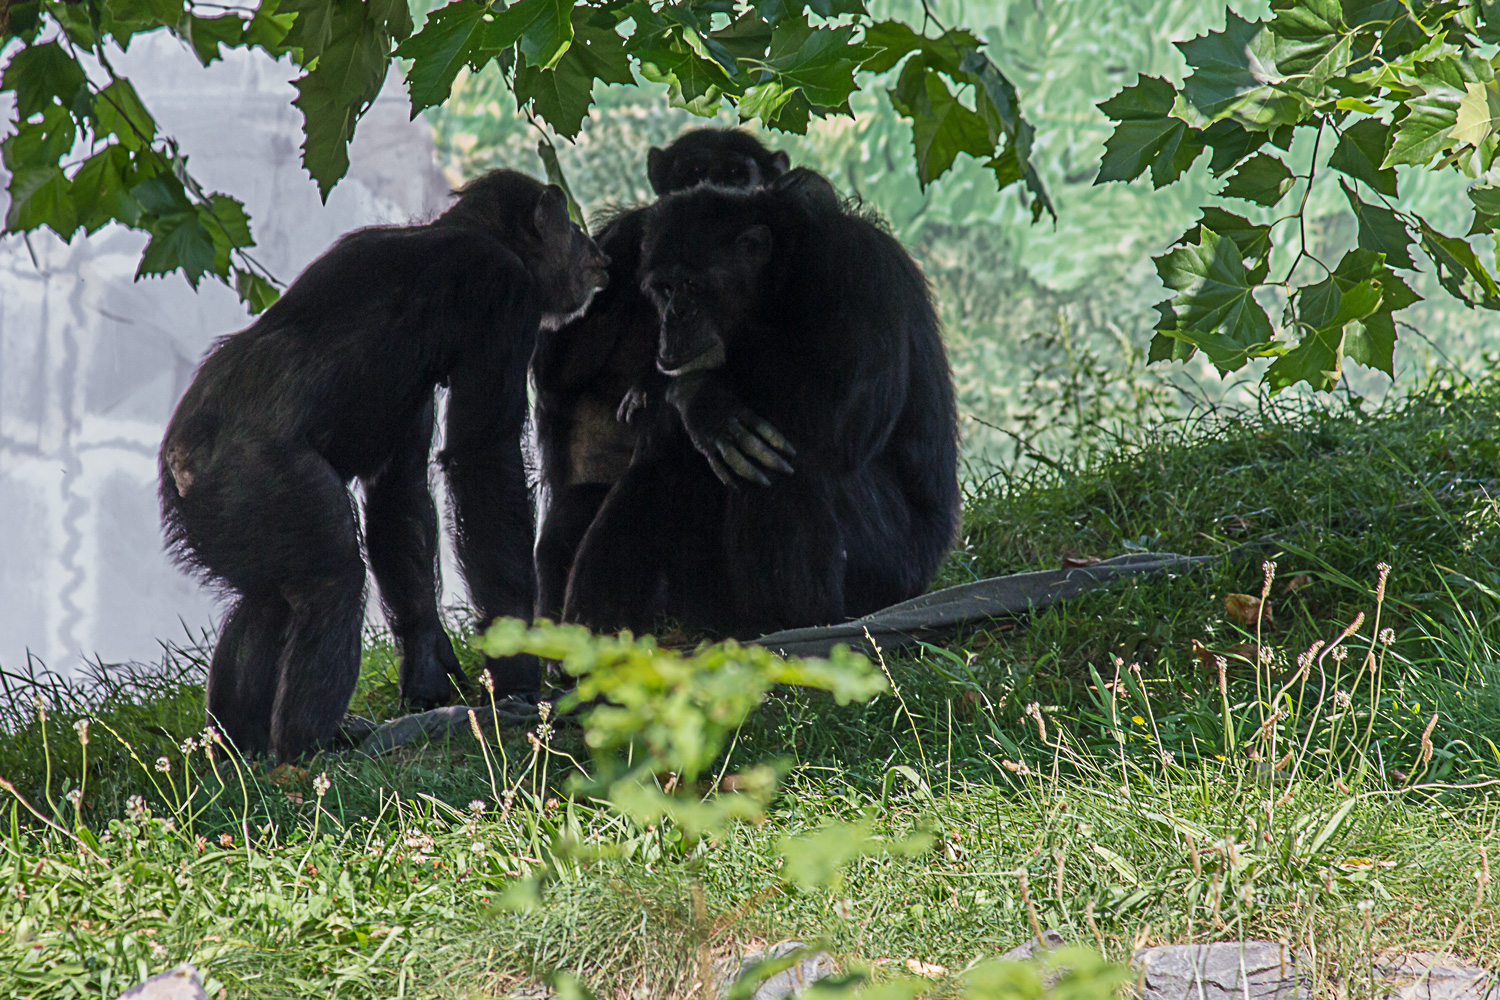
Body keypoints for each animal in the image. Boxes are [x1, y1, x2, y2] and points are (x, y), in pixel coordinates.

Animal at [161, 170, 606, 758]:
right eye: (569, 227)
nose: (592, 246)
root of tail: (182, 465)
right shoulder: (504, 293)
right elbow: (483, 458)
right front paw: (518, 674)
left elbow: (399, 487)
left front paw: (428, 664)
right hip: (258, 478)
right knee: (332, 580)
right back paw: (317, 743)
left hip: (230, 513)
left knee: (269, 599)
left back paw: (244, 745)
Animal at [537, 128, 798, 620]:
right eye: (693, 173)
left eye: (735, 173)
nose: (713, 192)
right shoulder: (614, 242)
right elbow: (554, 376)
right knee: (571, 512)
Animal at [561, 166, 960, 632]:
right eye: (663, 288)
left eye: (692, 285)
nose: (672, 319)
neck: (780, 283)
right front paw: (686, 400)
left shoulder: (860, 270)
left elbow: (842, 409)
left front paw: (698, 396)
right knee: (667, 455)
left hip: (893, 571)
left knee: (793, 457)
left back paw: (795, 622)